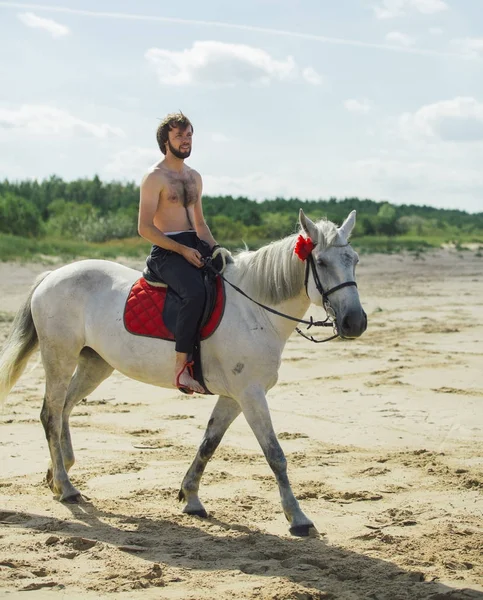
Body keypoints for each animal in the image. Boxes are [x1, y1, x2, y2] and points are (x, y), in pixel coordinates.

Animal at [0, 210, 366, 536]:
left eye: (355, 260)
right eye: (321, 263)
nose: (355, 322)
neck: (254, 309)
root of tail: (52, 275)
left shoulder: (234, 397)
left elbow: (209, 443)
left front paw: (191, 497)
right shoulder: (251, 394)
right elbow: (275, 454)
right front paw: (298, 518)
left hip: (95, 364)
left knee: (64, 409)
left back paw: (58, 472)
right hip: (59, 357)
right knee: (50, 414)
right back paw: (66, 486)